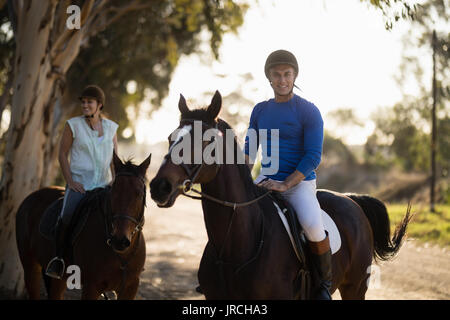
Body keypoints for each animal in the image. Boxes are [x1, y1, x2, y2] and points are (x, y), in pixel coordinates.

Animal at [15, 152, 151, 300]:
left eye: (139, 194)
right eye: (113, 192)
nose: (119, 240)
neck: (122, 254)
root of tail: (30, 198)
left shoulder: (130, 288)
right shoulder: (91, 287)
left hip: (59, 279)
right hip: (30, 266)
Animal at [150, 92, 412, 300]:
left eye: (207, 141)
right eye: (170, 138)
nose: (159, 186)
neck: (236, 245)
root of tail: (351, 199)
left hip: (355, 287)